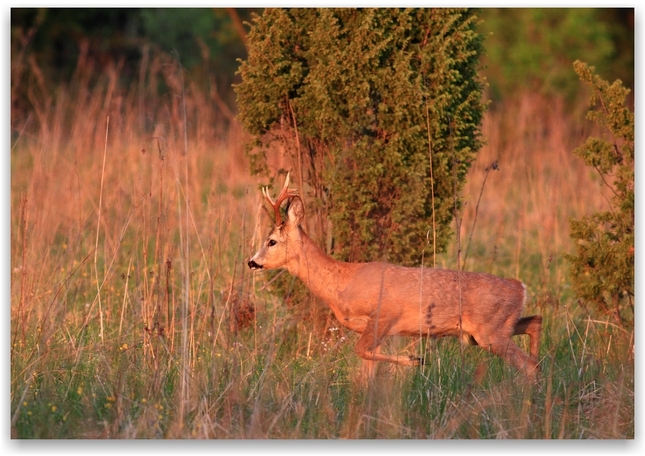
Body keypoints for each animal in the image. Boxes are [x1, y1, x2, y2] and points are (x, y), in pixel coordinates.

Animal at [249, 173, 540, 380]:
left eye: (272, 241)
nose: (251, 262)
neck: (342, 283)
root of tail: (520, 287)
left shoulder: (385, 314)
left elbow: (361, 351)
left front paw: (415, 360)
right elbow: (365, 369)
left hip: (490, 331)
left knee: (527, 364)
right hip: (495, 329)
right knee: (535, 324)